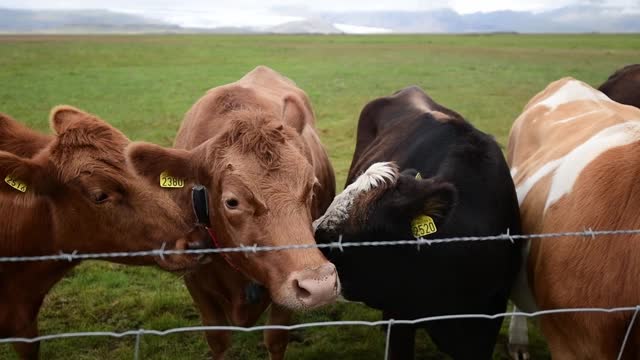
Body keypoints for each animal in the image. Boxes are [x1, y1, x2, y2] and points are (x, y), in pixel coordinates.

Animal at [128, 66, 342, 358]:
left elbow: (275, 338)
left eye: (312, 187)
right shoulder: (196, 282)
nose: (319, 285)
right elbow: (218, 340)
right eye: (232, 202)